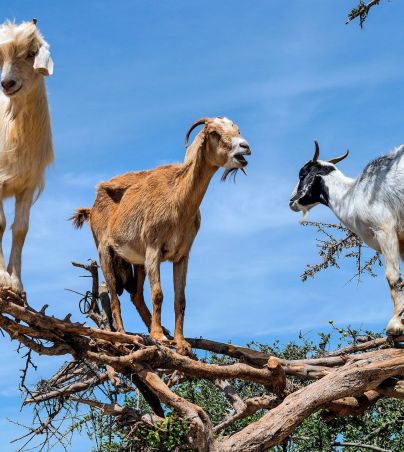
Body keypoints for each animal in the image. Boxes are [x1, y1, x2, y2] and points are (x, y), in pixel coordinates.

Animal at [71, 115, 251, 354]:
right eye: (213, 132)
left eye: (236, 129)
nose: (245, 147)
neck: (177, 199)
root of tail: (91, 208)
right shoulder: (153, 249)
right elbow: (158, 293)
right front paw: (159, 336)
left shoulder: (182, 255)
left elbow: (180, 299)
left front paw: (181, 342)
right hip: (105, 253)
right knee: (114, 297)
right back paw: (124, 336)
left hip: (136, 261)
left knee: (136, 296)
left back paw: (155, 330)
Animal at [288, 141, 404, 336]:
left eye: (302, 174)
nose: (291, 201)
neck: (353, 194)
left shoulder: (384, 229)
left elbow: (392, 276)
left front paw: (395, 324)